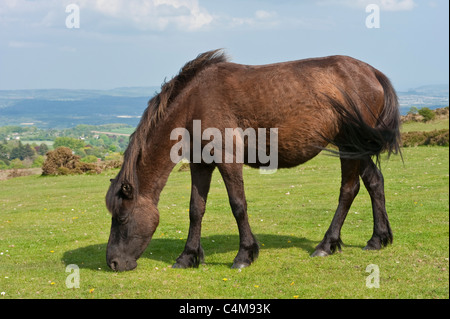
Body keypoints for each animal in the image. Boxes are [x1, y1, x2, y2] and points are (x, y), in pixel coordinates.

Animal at [105, 49, 400, 272]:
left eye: (121, 217)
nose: (113, 262)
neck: (194, 103)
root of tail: (372, 72)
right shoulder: (201, 164)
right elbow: (196, 209)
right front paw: (188, 256)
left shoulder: (227, 159)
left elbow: (238, 205)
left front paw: (244, 254)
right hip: (357, 148)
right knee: (374, 182)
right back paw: (378, 239)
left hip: (350, 146)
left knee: (348, 190)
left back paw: (327, 244)